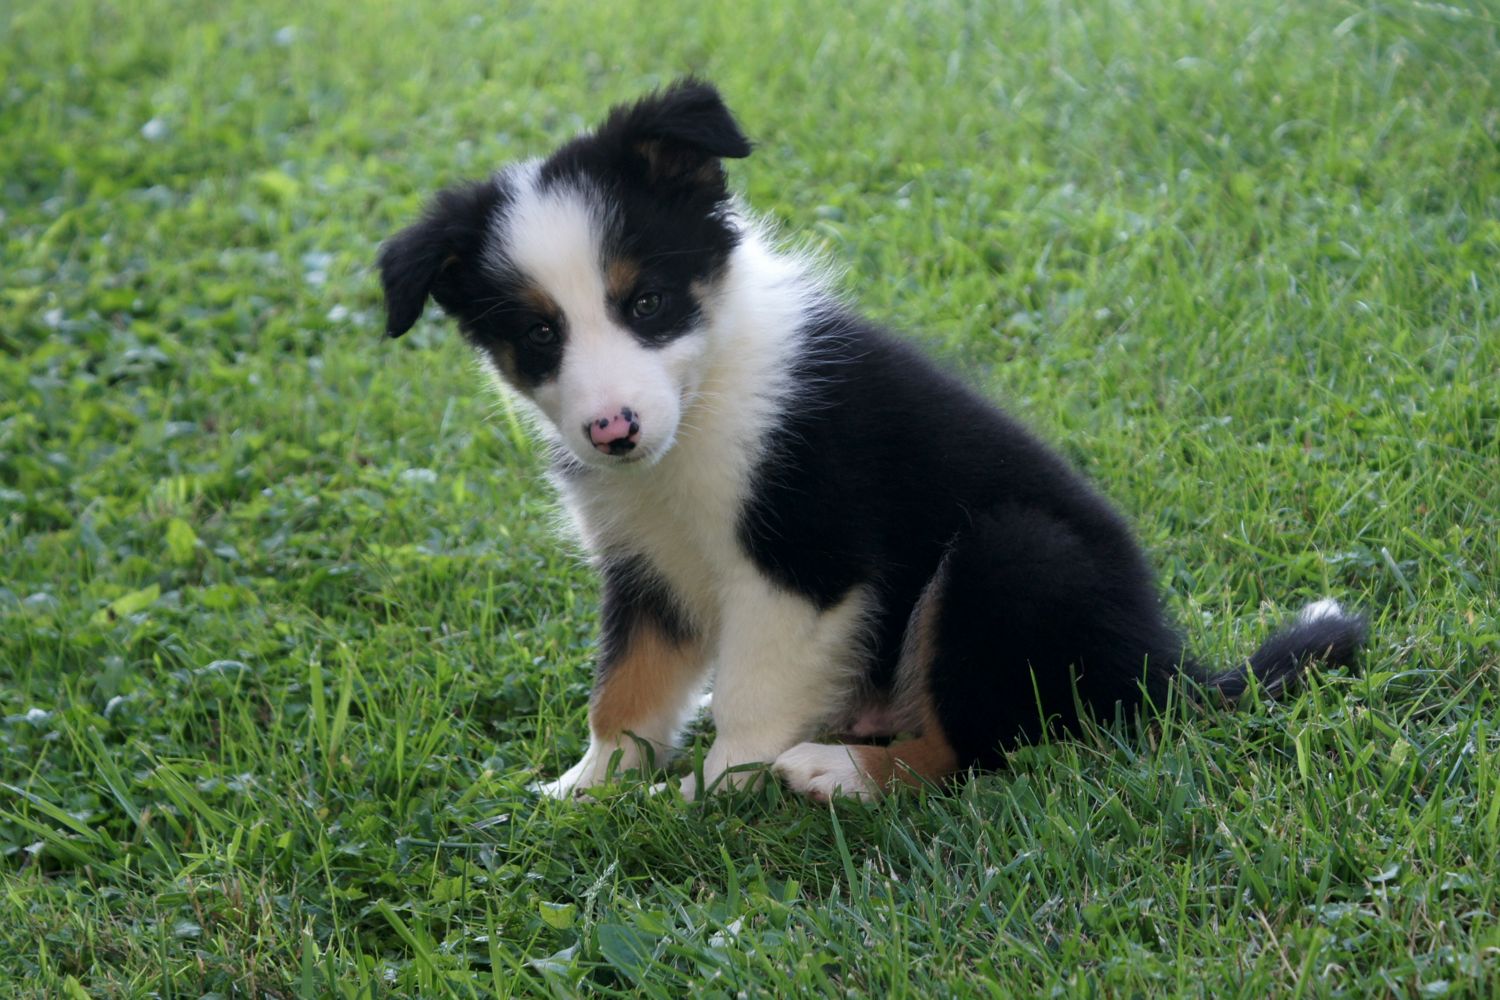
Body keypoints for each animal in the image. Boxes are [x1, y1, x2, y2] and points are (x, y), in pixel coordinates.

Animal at [377, 79, 1366, 801]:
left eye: (647, 302)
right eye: (541, 335)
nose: (612, 431)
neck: (704, 402)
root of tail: (1165, 672)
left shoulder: (807, 561)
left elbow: (749, 694)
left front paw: (709, 792)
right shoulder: (646, 563)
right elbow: (626, 688)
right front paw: (585, 790)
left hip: (1014, 558)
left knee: (982, 747)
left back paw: (835, 771)